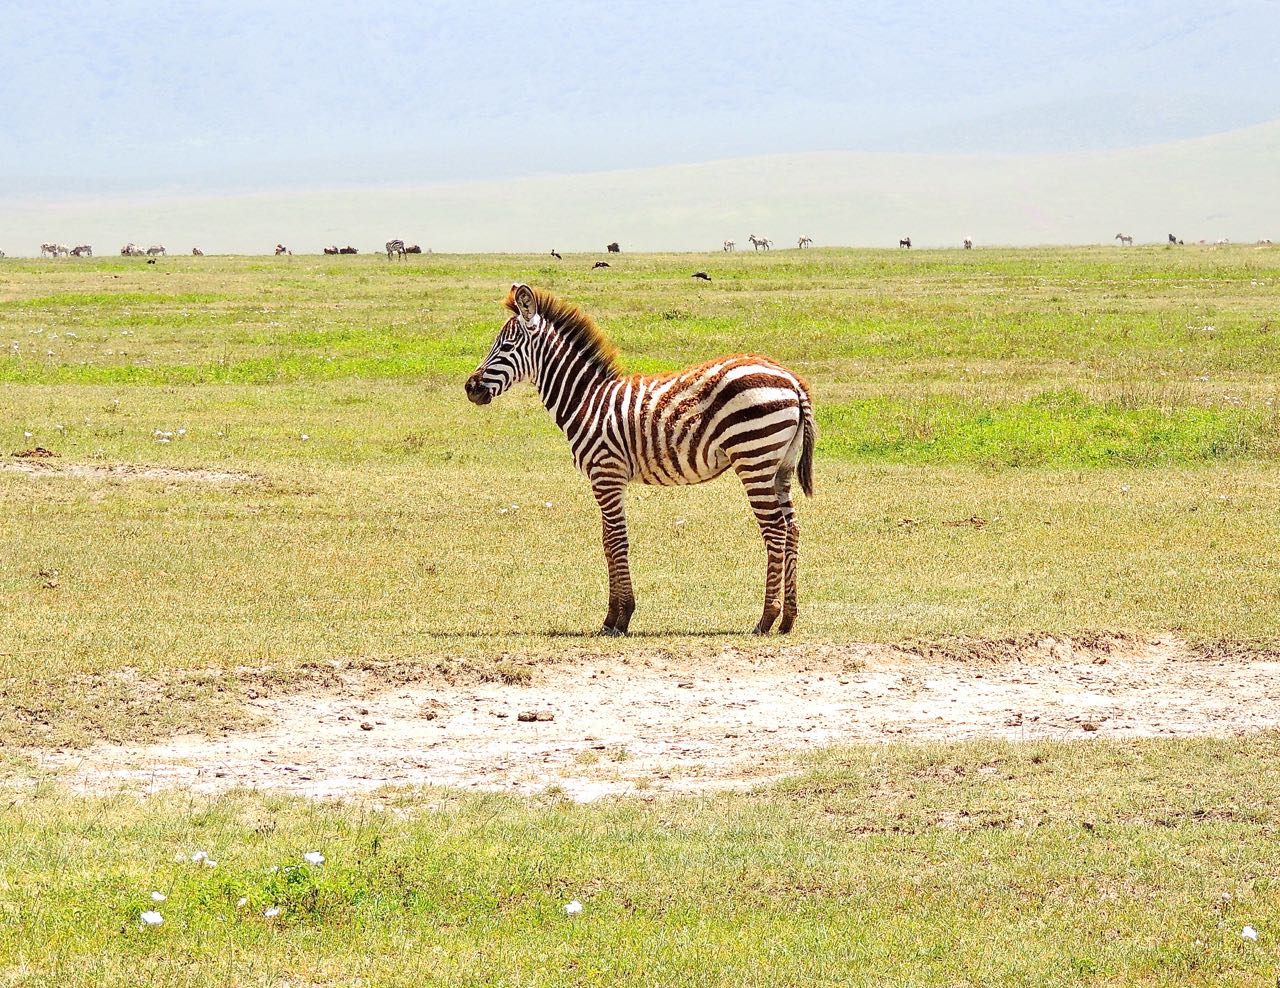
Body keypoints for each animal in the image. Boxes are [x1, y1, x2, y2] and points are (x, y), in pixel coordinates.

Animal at [465, 281, 814, 637]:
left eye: (506, 346)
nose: (470, 388)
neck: (586, 400)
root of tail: (791, 379)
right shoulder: (608, 478)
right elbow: (608, 541)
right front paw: (612, 617)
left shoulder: (605, 473)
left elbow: (615, 541)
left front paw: (620, 617)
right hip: (780, 466)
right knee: (792, 528)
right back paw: (788, 618)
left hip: (754, 458)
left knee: (775, 530)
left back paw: (766, 618)